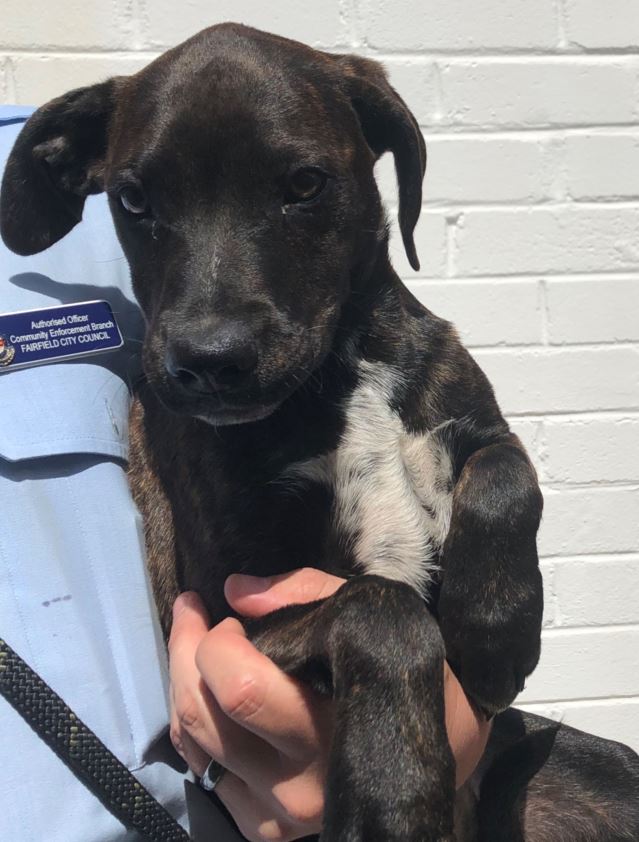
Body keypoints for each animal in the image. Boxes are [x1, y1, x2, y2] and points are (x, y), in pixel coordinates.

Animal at [2, 23, 638, 842]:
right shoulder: (227, 612)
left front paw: (496, 631)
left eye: (305, 184)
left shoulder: (473, 419)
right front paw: (394, 794)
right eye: (133, 198)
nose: (207, 362)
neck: (343, 371)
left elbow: (507, 475)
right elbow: (381, 607)